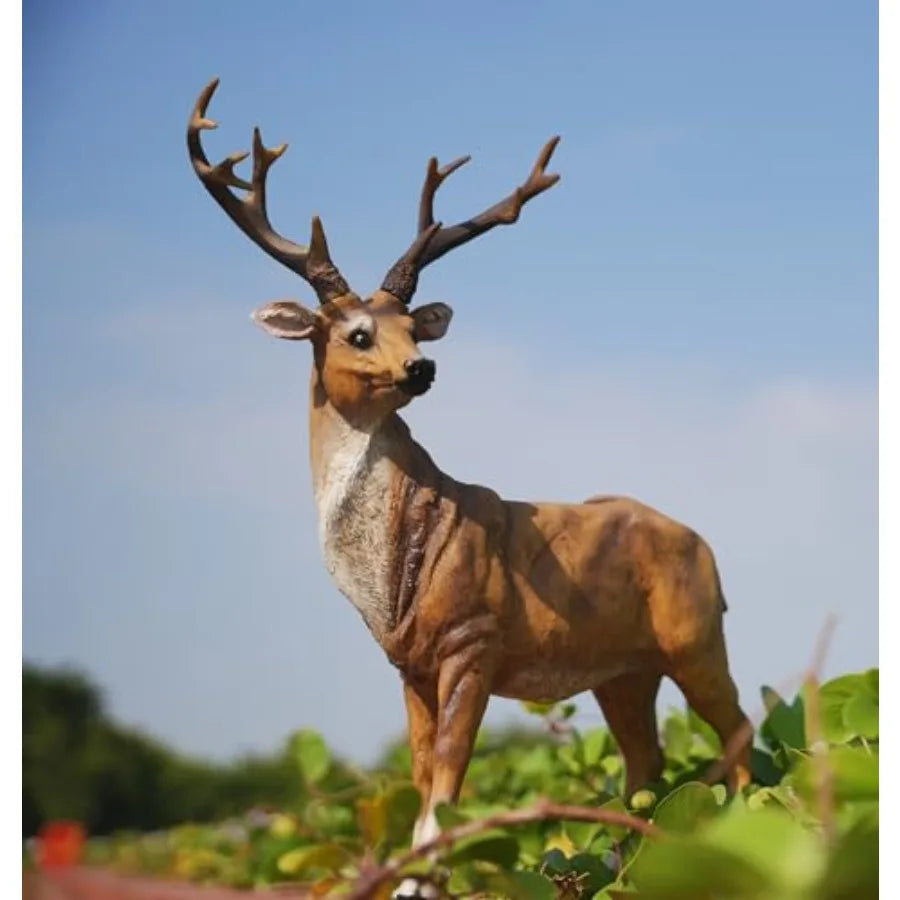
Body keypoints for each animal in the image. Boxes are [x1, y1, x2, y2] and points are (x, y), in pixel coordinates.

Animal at [188, 78, 752, 897]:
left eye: (411, 328)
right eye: (357, 332)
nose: (421, 368)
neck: (394, 568)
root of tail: (705, 546)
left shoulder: (474, 635)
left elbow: (449, 785)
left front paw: (421, 883)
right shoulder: (412, 664)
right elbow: (423, 776)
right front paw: (412, 880)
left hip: (694, 630)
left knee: (737, 727)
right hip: (625, 668)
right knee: (645, 764)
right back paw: (628, 866)